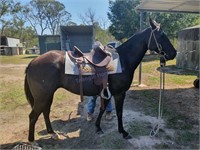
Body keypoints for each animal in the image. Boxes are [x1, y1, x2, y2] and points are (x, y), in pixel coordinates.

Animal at [24, 19, 177, 142]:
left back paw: (52, 133)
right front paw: (123, 132)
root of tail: (33, 62)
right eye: (161, 35)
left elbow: (103, 109)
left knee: (45, 112)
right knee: (33, 116)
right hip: (42, 96)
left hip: (48, 95)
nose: (174, 53)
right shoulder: (119, 93)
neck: (123, 60)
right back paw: (32, 140)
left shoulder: (108, 92)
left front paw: (98, 127)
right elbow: (119, 112)